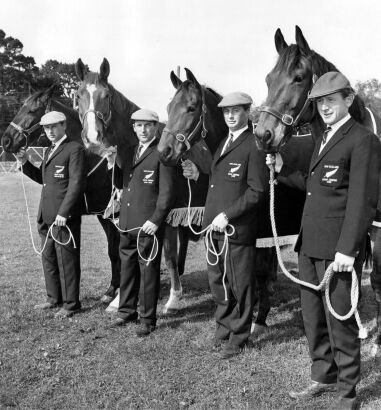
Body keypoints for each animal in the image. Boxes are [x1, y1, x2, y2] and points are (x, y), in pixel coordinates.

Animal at [0, 85, 121, 304]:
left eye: (32, 110)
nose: (6, 140)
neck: (93, 160)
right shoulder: (102, 214)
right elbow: (112, 251)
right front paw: (111, 290)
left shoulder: (112, 214)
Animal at [74, 58, 211, 314]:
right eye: (78, 95)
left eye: (106, 96)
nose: (93, 137)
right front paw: (119, 297)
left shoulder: (165, 214)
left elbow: (165, 255)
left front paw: (172, 298)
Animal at [154, 65, 306, 332]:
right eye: (169, 107)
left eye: (191, 107)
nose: (164, 152)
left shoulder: (261, 235)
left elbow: (257, 272)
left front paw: (259, 318)